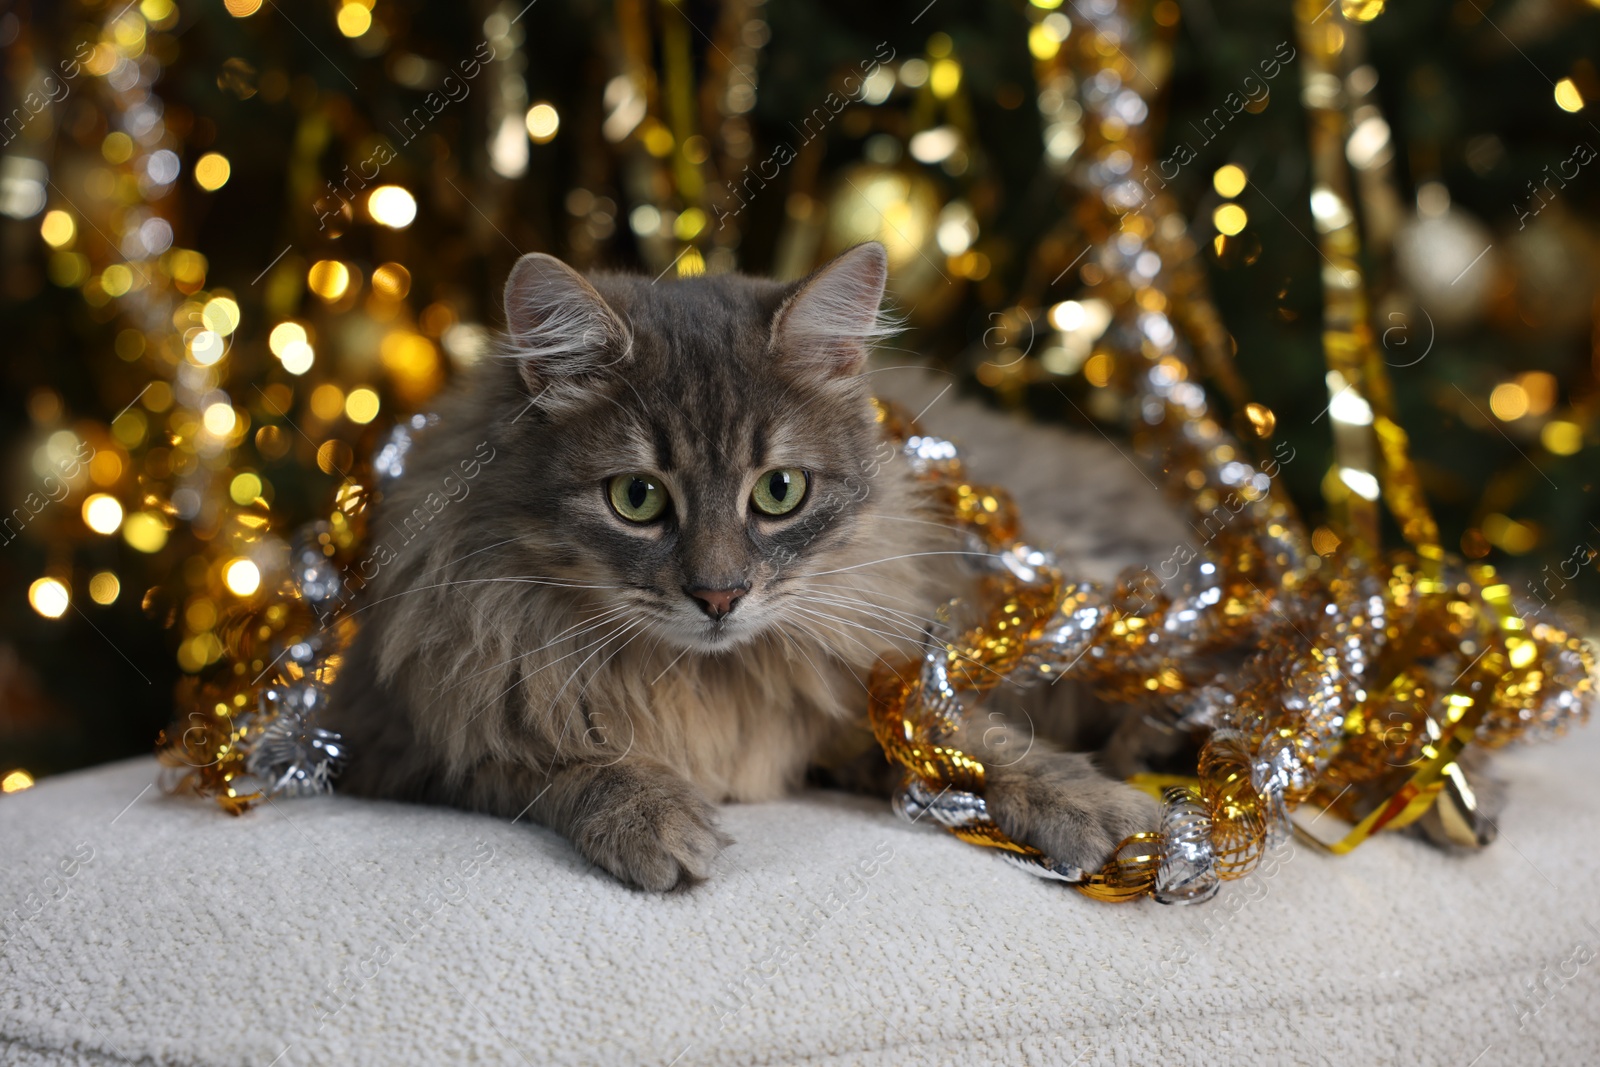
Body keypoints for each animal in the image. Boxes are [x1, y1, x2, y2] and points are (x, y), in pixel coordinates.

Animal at [328, 246, 1177, 889]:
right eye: (636, 497)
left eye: (780, 491)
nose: (719, 595)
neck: (704, 680)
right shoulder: (403, 740)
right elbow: (566, 762)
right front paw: (652, 815)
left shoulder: (860, 689)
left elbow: (967, 736)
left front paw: (1092, 802)